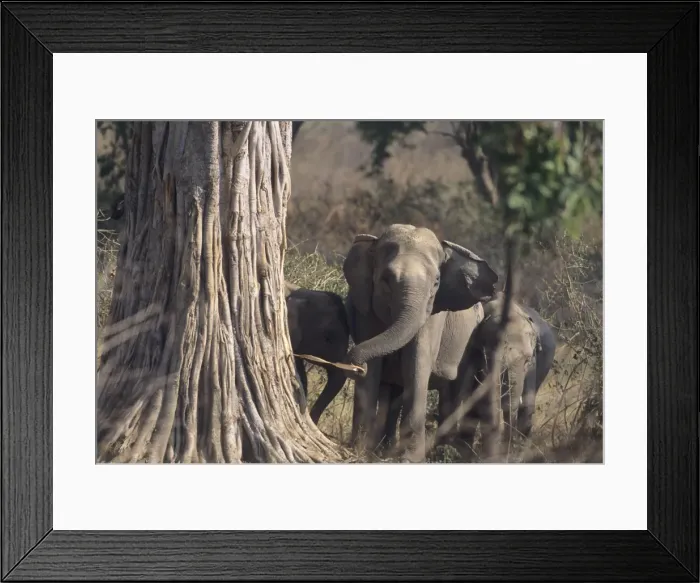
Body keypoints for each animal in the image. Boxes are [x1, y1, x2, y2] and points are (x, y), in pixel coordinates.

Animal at [341, 224, 499, 462]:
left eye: (436, 283)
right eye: (386, 279)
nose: (355, 366)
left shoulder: (433, 313)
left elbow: (416, 364)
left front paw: (409, 459)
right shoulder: (365, 308)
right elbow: (375, 370)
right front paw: (359, 451)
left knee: (454, 391)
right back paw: (383, 449)